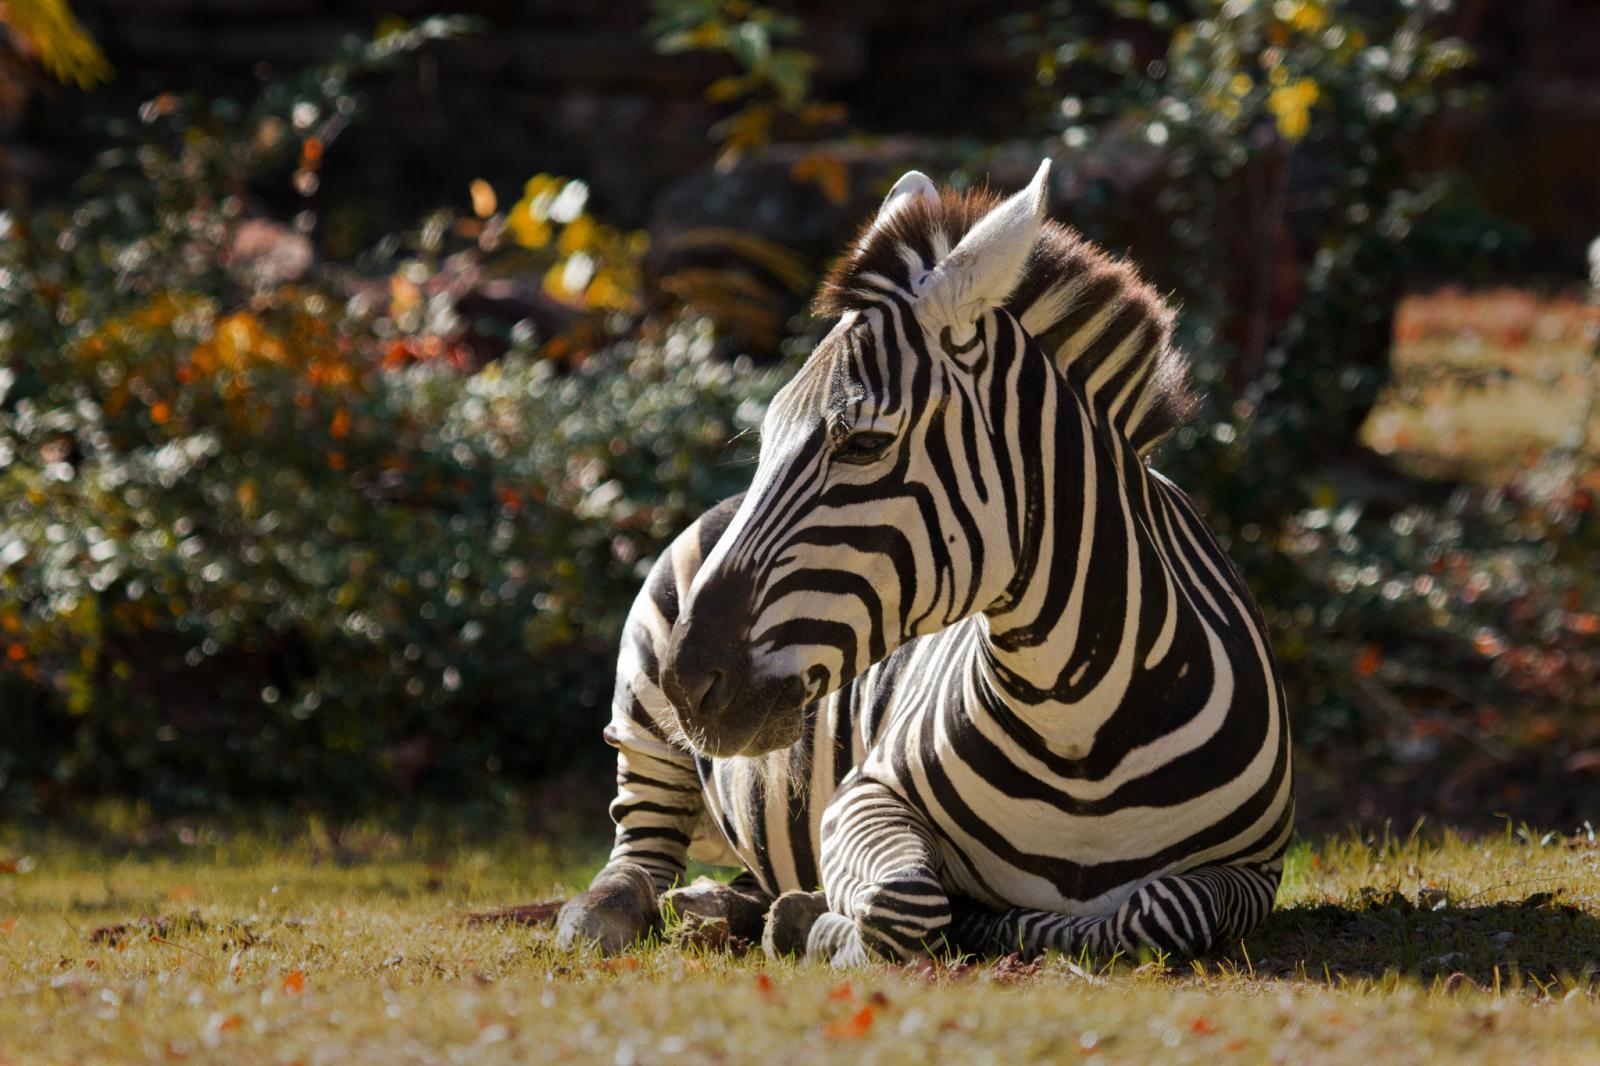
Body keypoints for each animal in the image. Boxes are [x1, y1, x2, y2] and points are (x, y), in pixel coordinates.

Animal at [555, 160, 1293, 964]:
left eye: (865, 444)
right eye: (767, 437)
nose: (687, 684)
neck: (1080, 727)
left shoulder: (1255, 868)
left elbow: (1159, 910)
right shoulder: (863, 796)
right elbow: (907, 899)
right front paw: (825, 924)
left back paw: (726, 905)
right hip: (641, 713)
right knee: (638, 847)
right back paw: (613, 913)